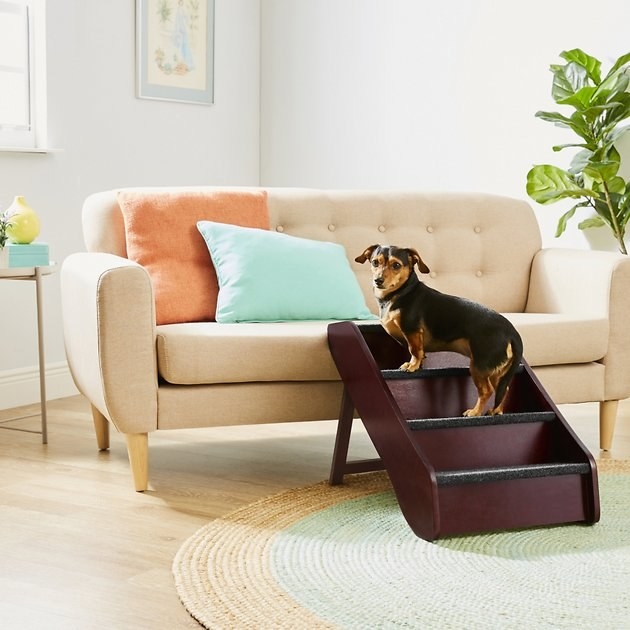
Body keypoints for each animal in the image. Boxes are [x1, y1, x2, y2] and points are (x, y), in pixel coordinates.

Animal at [358, 244, 524, 418]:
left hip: (479, 367)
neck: (401, 292)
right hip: (497, 371)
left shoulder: (412, 331)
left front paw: (412, 365)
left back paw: (475, 412)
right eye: (375, 262)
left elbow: (414, 350)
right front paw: (418, 364)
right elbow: (420, 353)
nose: (378, 280)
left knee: (486, 391)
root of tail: (512, 332)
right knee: (503, 389)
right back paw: (495, 411)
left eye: (396, 265)